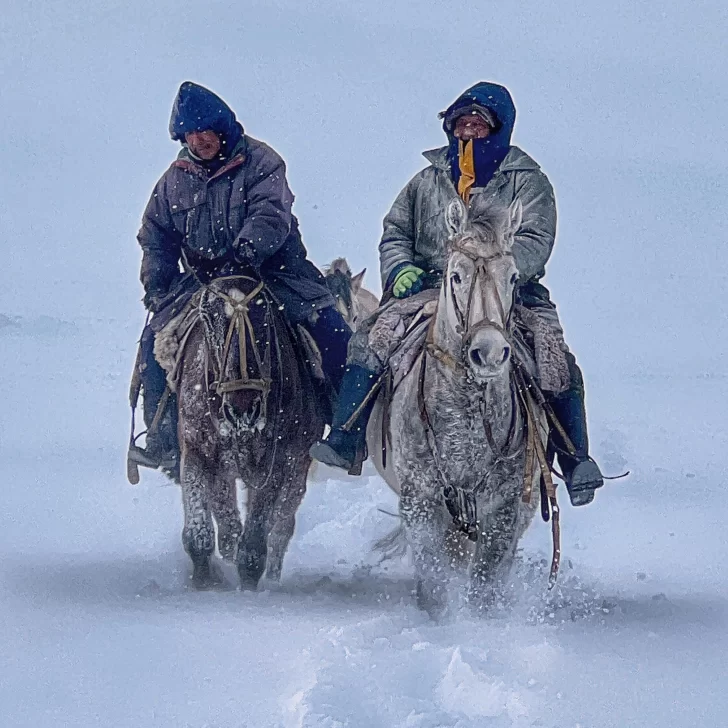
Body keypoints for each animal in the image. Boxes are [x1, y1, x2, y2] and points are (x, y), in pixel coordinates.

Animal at [173, 276, 324, 588]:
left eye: (264, 314)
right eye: (208, 317)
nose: (243, 408)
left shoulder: (276, 464)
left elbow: (255, 541)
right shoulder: (197, 452)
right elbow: (199, 534)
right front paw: (203, 583)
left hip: (297, 468)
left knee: (281, 527)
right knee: (229, 523)